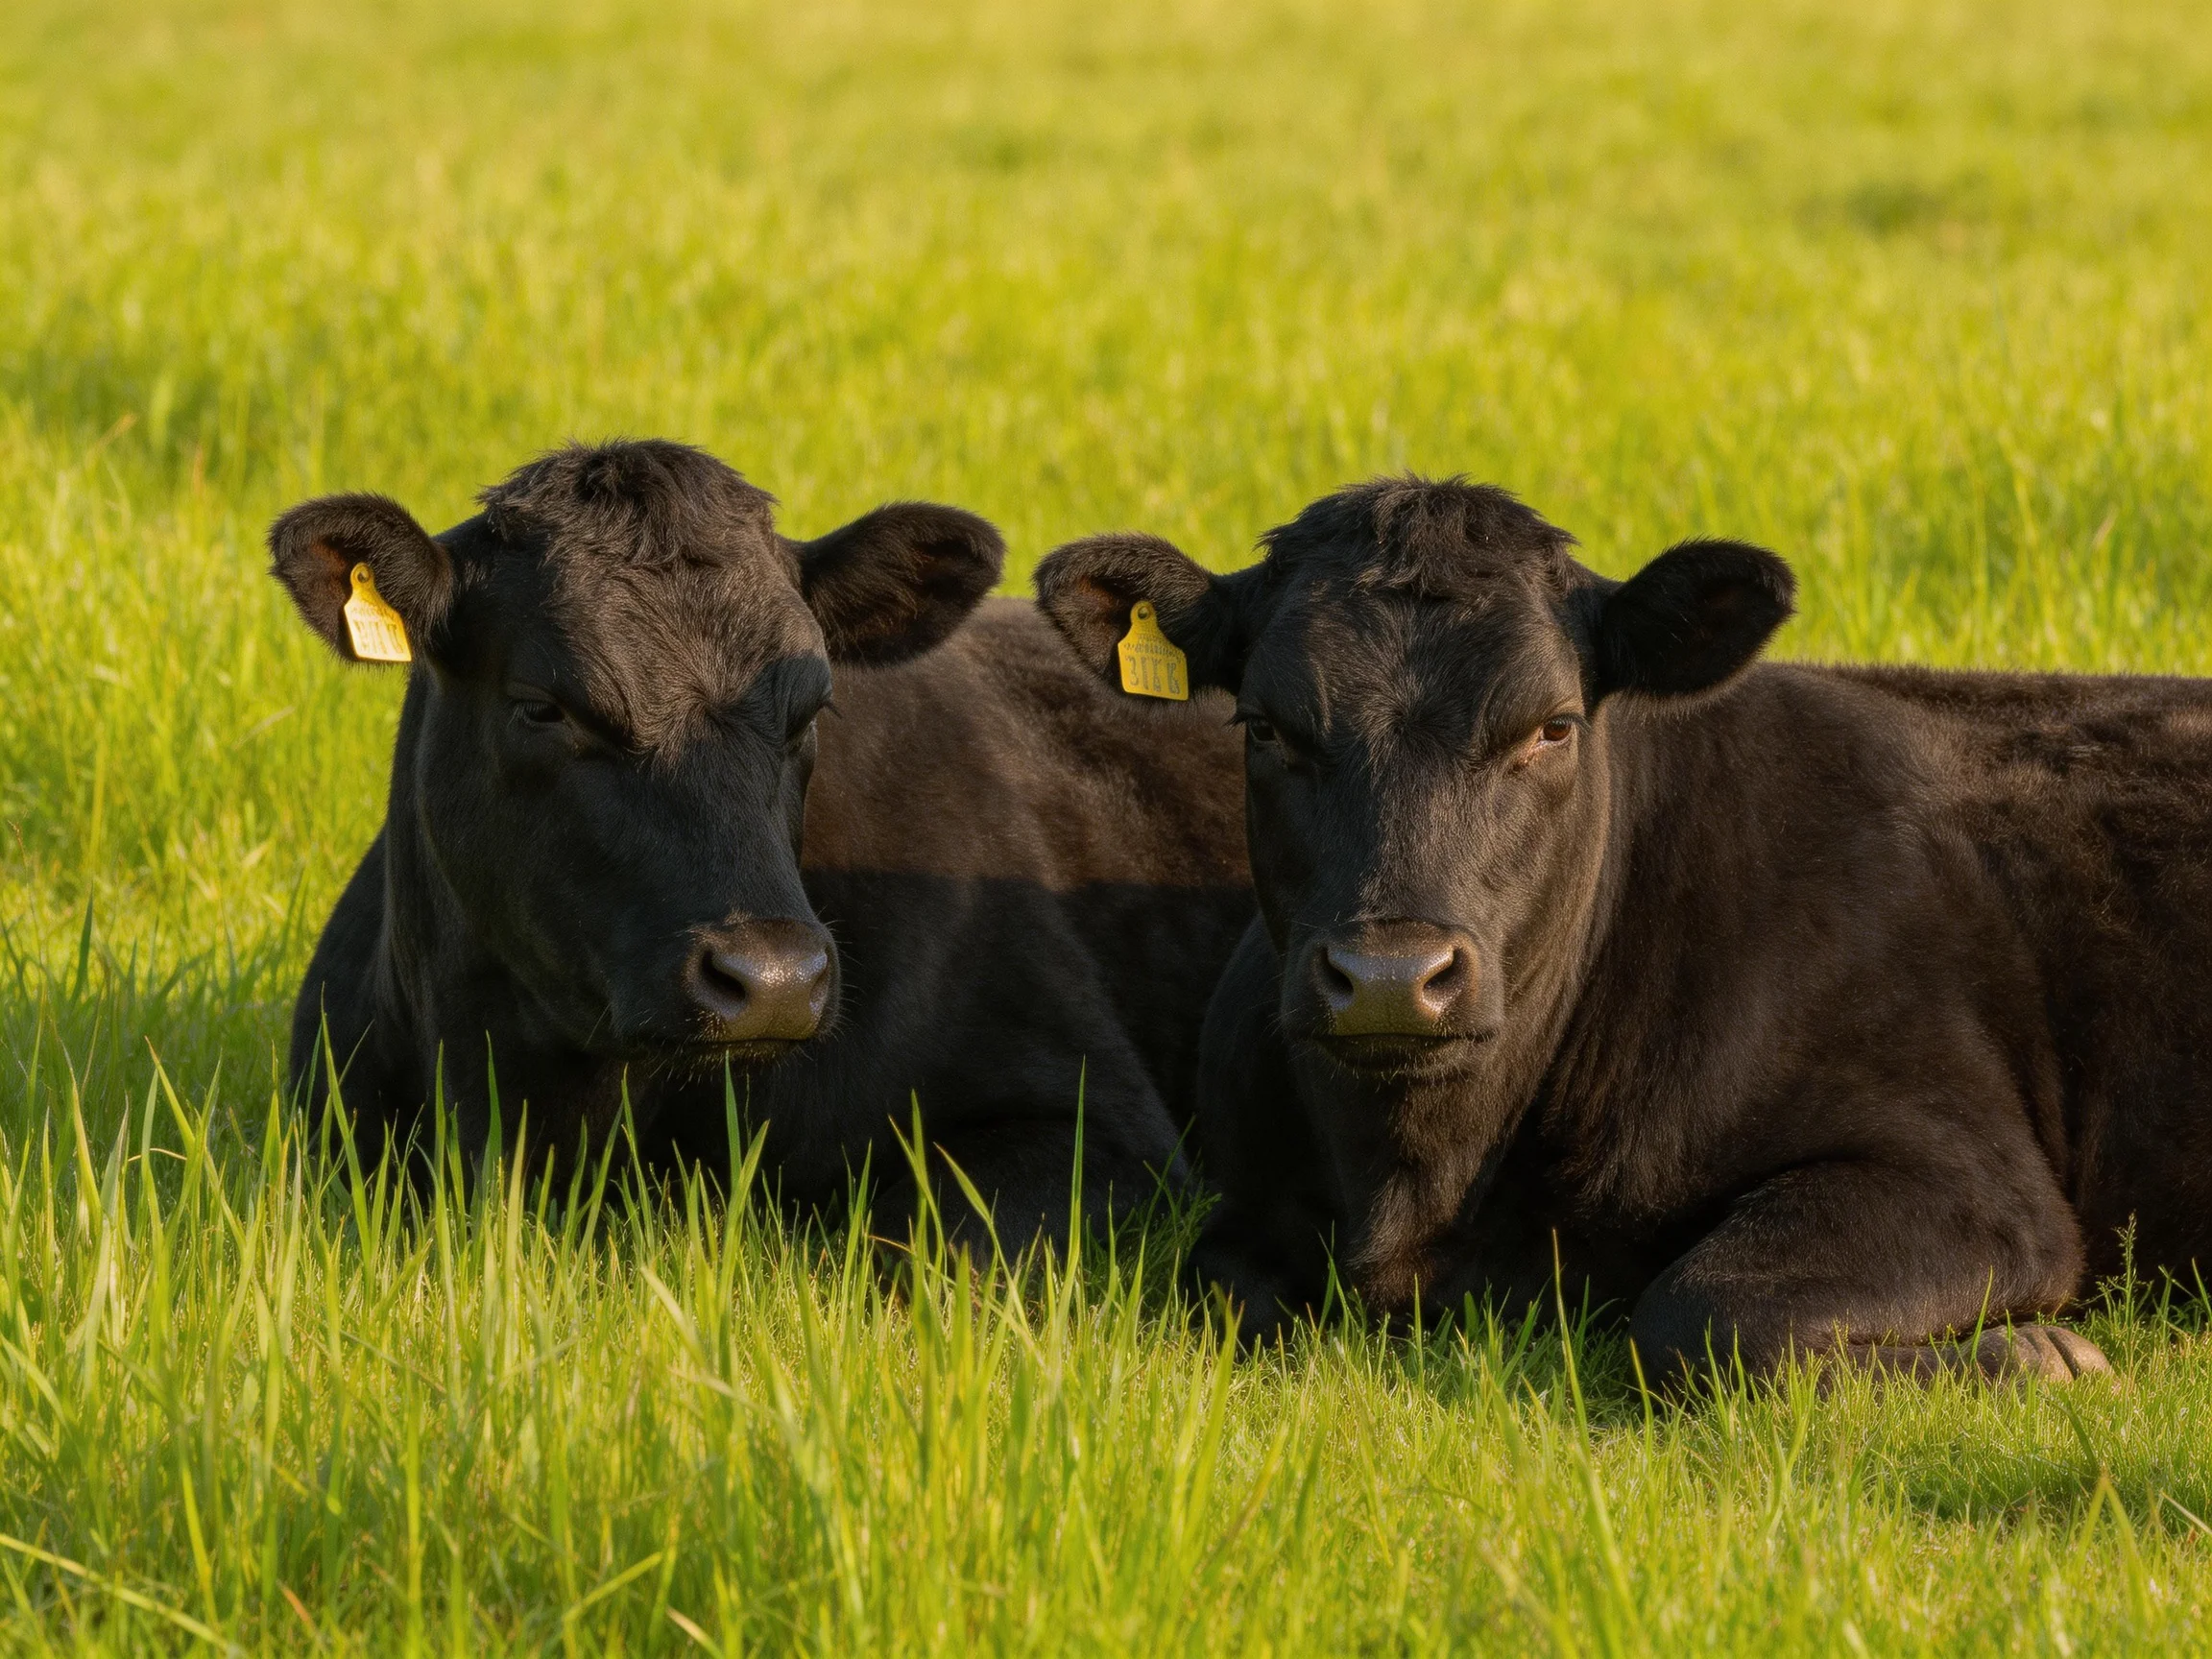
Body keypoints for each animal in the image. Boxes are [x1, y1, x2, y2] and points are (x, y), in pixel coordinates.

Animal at [1036, 475, 2212, 1382]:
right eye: (1265, 727)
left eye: (1551, 728)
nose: (1388, 975)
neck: (1412, 1194)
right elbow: (1211, 1288)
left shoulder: (1968, 1173)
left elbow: (1703, 1311)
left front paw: (2038, 1359)